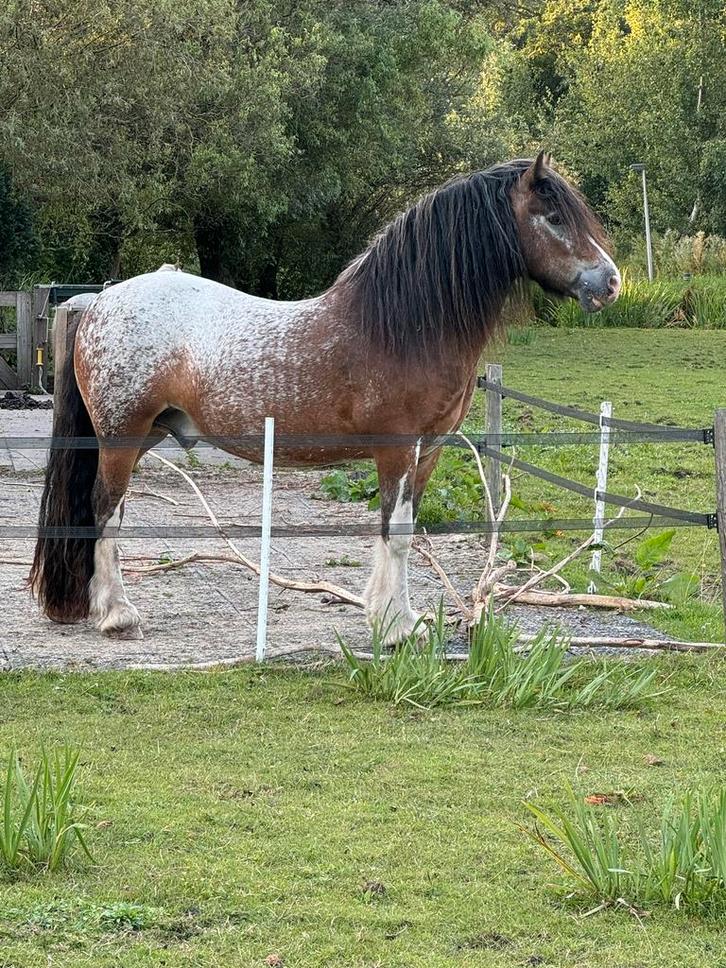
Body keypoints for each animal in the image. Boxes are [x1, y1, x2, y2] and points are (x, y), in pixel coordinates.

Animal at [30, 152, 620, 644]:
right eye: (554, 217)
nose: (611, 282)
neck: (404, 327)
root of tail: (98, 301)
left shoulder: (427, 453)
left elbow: (403, 531)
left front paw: (398, 618)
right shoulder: (396, 449)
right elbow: (396, 533)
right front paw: (393, 628)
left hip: (145, 435)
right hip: (121, 437)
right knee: (105, 511)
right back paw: (117, 614)